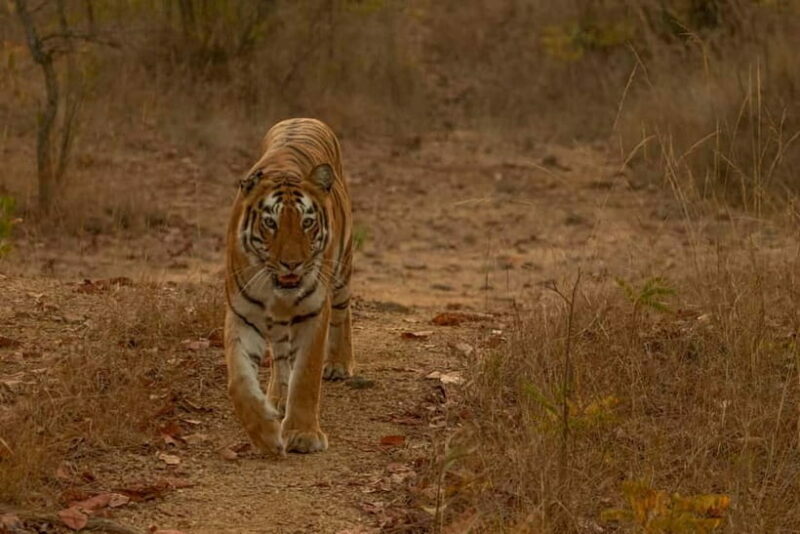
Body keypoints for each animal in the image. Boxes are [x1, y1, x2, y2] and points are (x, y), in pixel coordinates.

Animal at [224, 118, 353, 455]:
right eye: (271, 223)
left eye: (307, 222)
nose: (292, 264)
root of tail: (304, 118)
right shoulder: (242, 314)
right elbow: (239, 381)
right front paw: (265, 434)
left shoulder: (313, 311)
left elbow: (306, 375)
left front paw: (303, 435)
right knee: (281, 355)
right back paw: (278, 399)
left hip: (342, 271)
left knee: (342, 313)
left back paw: (338, 364)